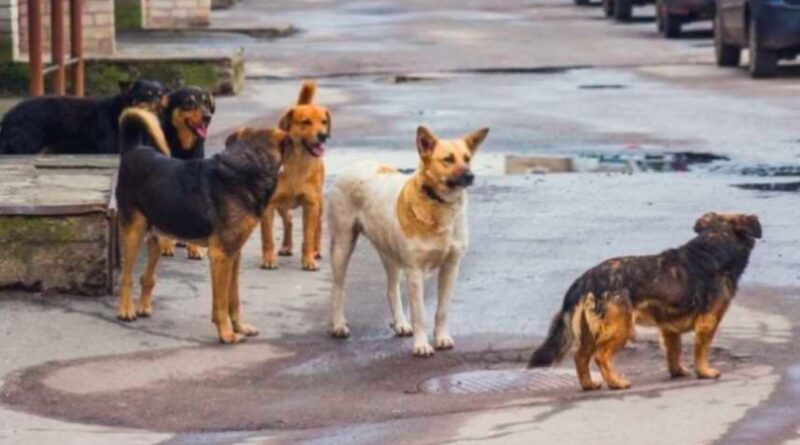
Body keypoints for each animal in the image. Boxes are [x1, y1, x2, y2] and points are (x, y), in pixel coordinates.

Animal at [0, 79, 167, 155]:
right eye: (147, 94)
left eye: (160, 94)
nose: (160, 104)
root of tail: (8, 116)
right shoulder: (111, 149)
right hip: (27, 145)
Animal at [112, 107, 288, 344]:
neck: (247, 165)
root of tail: (134, 149)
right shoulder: (221, 256)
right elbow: (221, 304)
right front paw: (226, 334)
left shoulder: (234, 254)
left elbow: (234, 299)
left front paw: (239, 327)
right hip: (134, 231)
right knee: (126, 277)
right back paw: (125, 310)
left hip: (156, 235)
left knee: (146, 276)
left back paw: (143, 306)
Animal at [155, 86, 216, 258]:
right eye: (189, 101)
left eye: (206, 102)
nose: (207, 117)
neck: (183, 147)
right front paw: (166, 245)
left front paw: (194, 248)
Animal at [324, 126, 488, 356]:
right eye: (447, 159)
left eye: (467, 158)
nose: (470, 176)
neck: (438, 204)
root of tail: (354, 165)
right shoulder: (415, 272)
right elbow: (419, 314)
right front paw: (421, 345)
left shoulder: (451, 267)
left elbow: (442, 310)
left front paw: (442, 337)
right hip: (342, 245)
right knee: (338, 288)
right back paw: (339, 325)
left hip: (390, 255)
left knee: (391, 289)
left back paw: (399, 323)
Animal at [532, 213, 764, 390]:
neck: (714, 243)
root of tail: (586, 278)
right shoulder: (708, 322)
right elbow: (701, 351)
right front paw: (705, 372)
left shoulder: (669, 329)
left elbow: (674, 351)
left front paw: (677, 371)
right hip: (621, 328)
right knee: (601, 356)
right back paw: (616, 383)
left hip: (591, 331)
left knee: (580, 357)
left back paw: (589, 384)